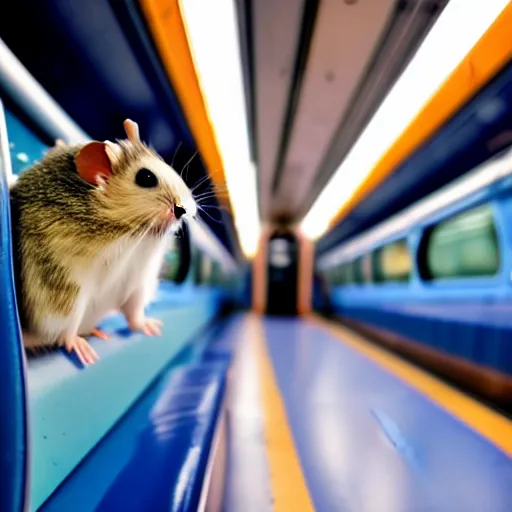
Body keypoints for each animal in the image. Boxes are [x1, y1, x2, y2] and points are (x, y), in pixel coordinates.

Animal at [10, 118, 198, 366]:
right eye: (146, 178)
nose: (184, 209)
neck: (130, 235)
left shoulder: (138, 283)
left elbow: (135, 313)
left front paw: (153, 327)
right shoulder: (64, 290)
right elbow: (66, 328)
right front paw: (81, 349)